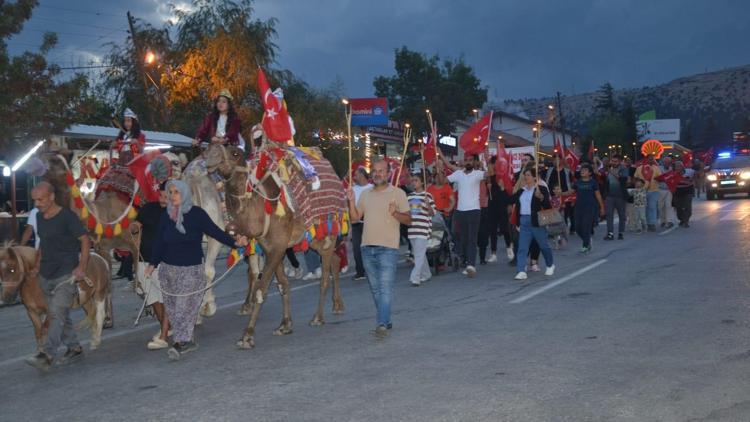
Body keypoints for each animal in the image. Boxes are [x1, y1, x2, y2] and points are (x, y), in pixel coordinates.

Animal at [204, 143, 348, 348]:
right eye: (210, 146)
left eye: (235, 153)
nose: (211, 153)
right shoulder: (272, 247)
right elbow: (282, 285)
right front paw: (285, 325)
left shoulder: (277, 247)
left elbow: (261, 289)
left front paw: (247, 336)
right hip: (314, 238)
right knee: (335, 259)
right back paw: (337, 305)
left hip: (329, 229)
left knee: (325, 277)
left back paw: (318, 317)